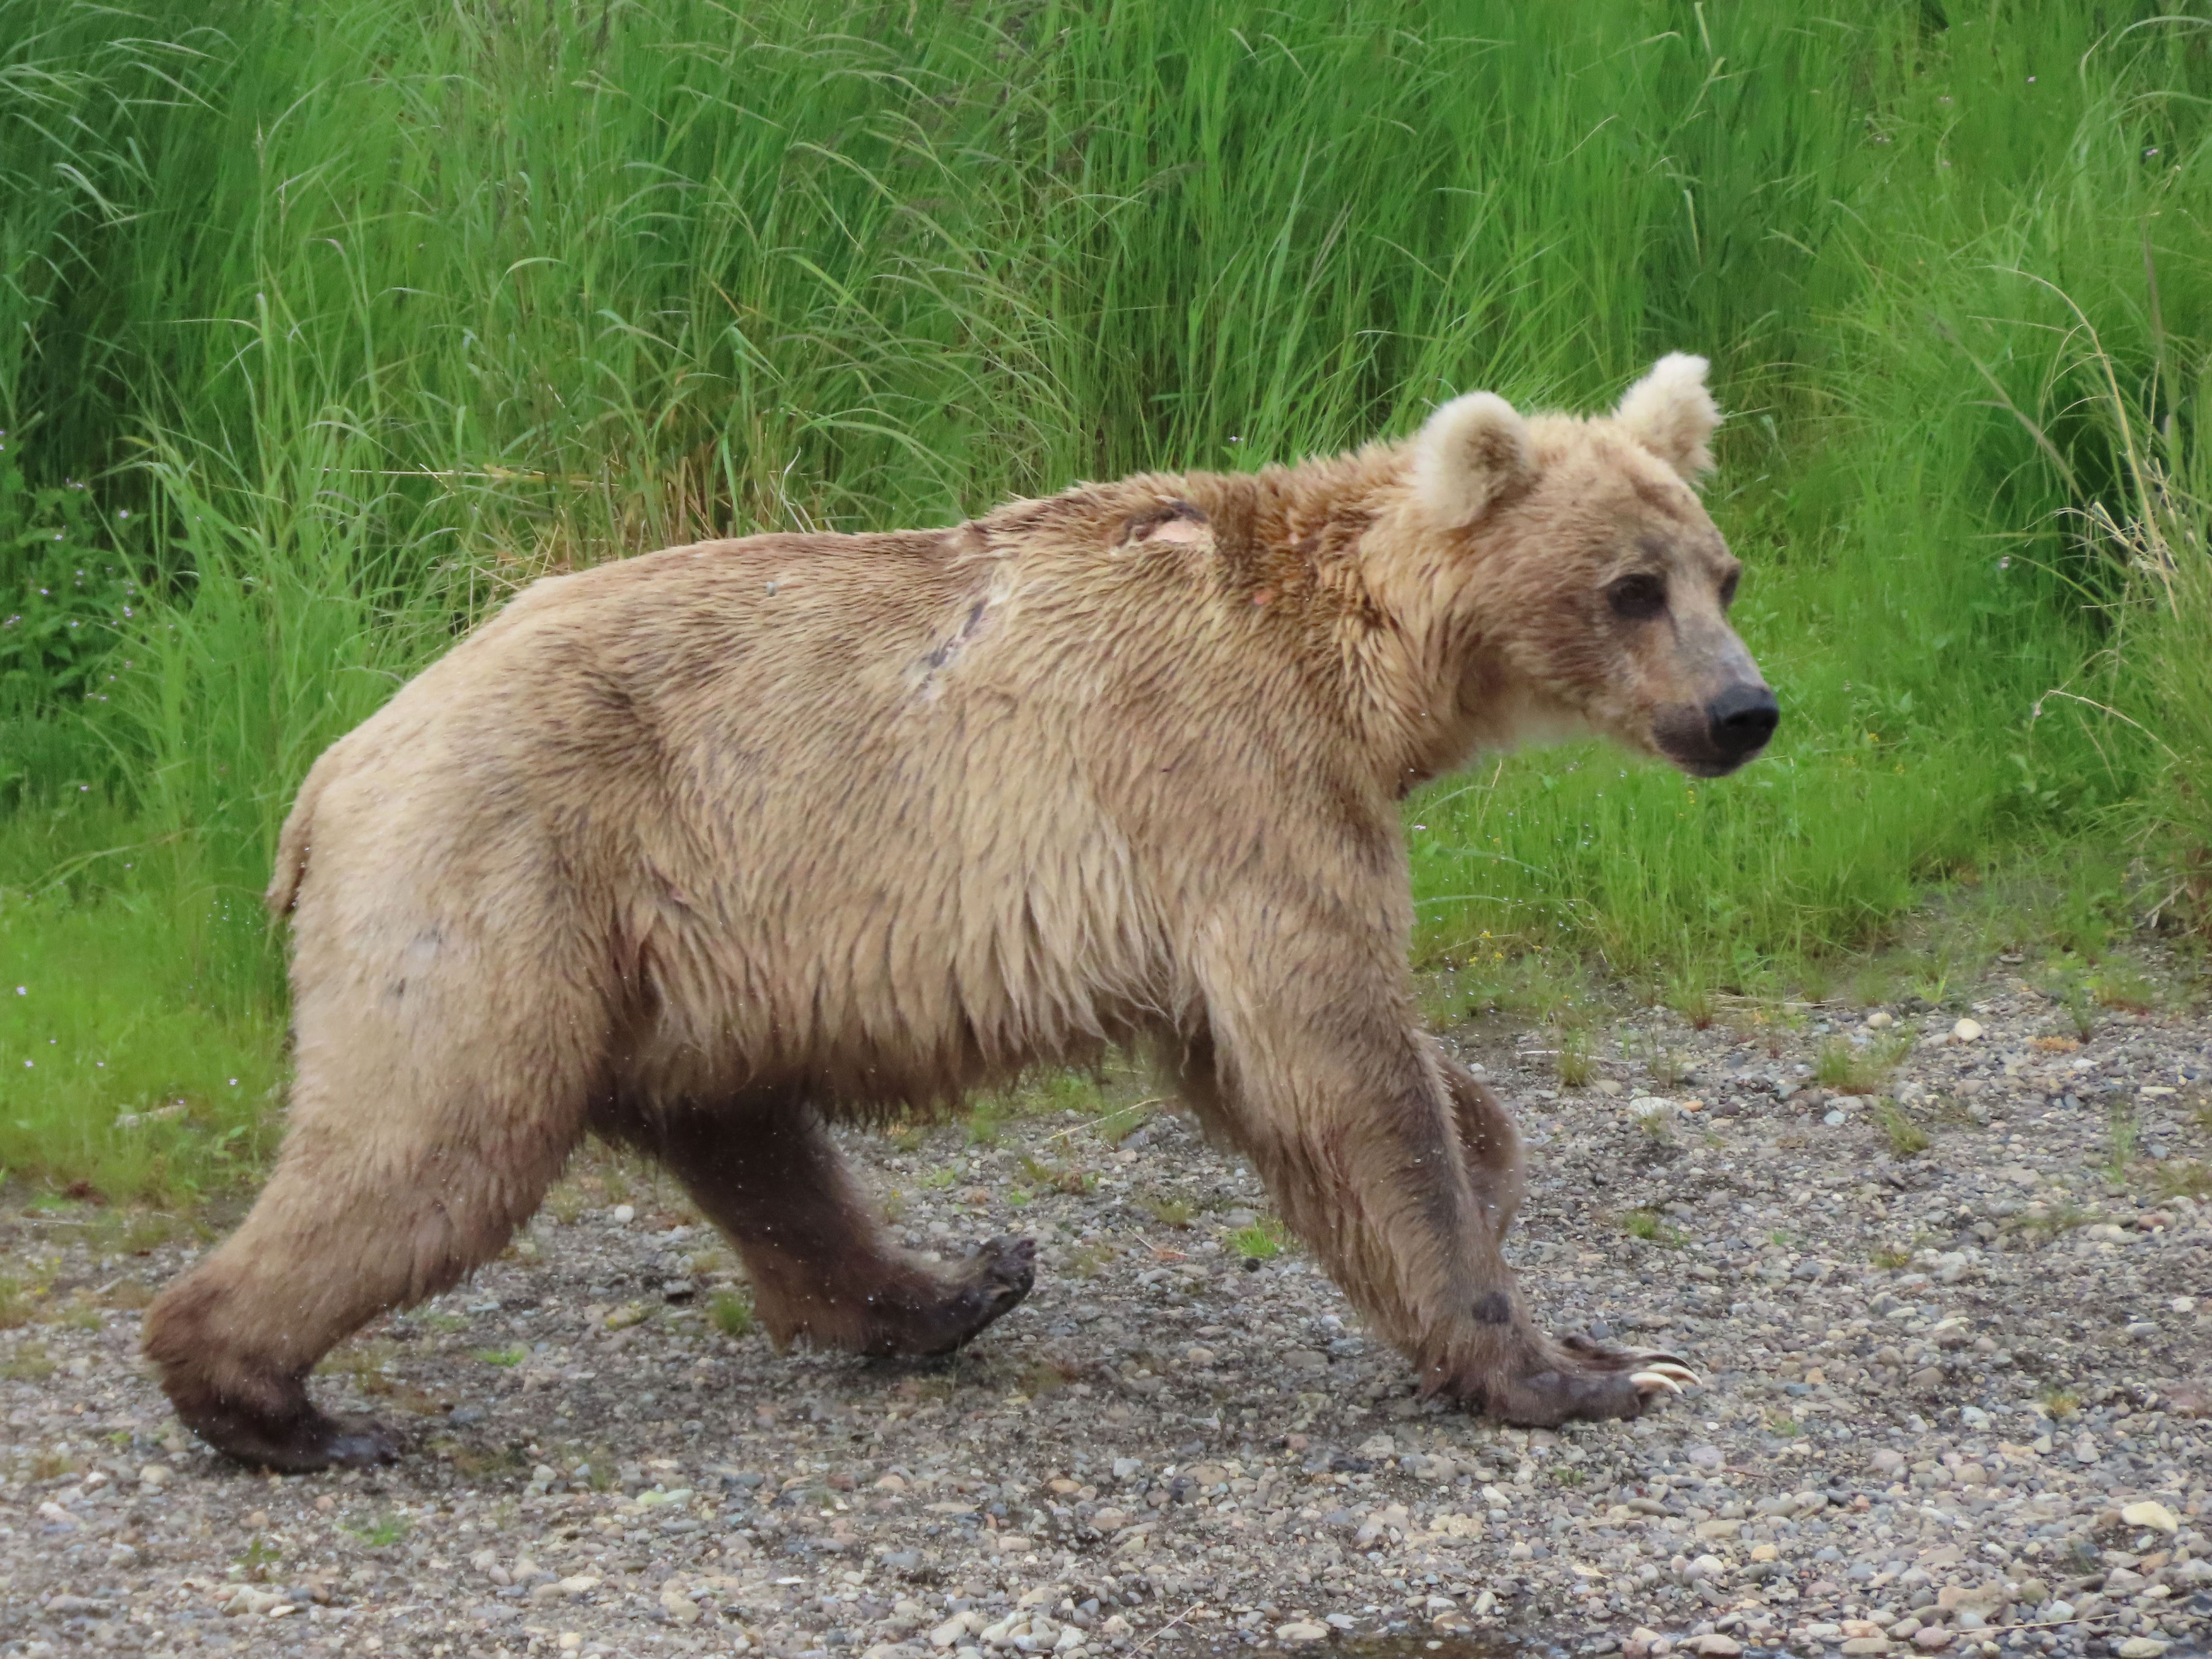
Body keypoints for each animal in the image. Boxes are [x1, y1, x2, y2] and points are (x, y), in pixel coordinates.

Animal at [147, 354, 1778, 1468]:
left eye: (1722, 568)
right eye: (1630, 589)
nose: (1742, 709)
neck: (1362, 677)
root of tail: (334, 769)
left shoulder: (1233, 833)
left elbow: (1331, 1071)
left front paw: (1552, 1268)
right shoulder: (1222, 775)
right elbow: (1338, 1061)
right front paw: (1582, 1369)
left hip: (671, 937)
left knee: (744, 1135)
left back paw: (950, 1286)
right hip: (504, 869)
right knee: (440, 1128)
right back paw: (280, 1403)